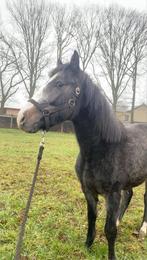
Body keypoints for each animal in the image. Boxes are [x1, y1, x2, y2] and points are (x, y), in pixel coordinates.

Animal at [16, 51, 147, 260]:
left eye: (60, 83)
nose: (22, 117)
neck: (102, 148)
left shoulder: (112, 194)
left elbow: (110, 230)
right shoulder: (88, 190)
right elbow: (92, 218)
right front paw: (88, 246)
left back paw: (142, 230)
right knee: (130, 194)